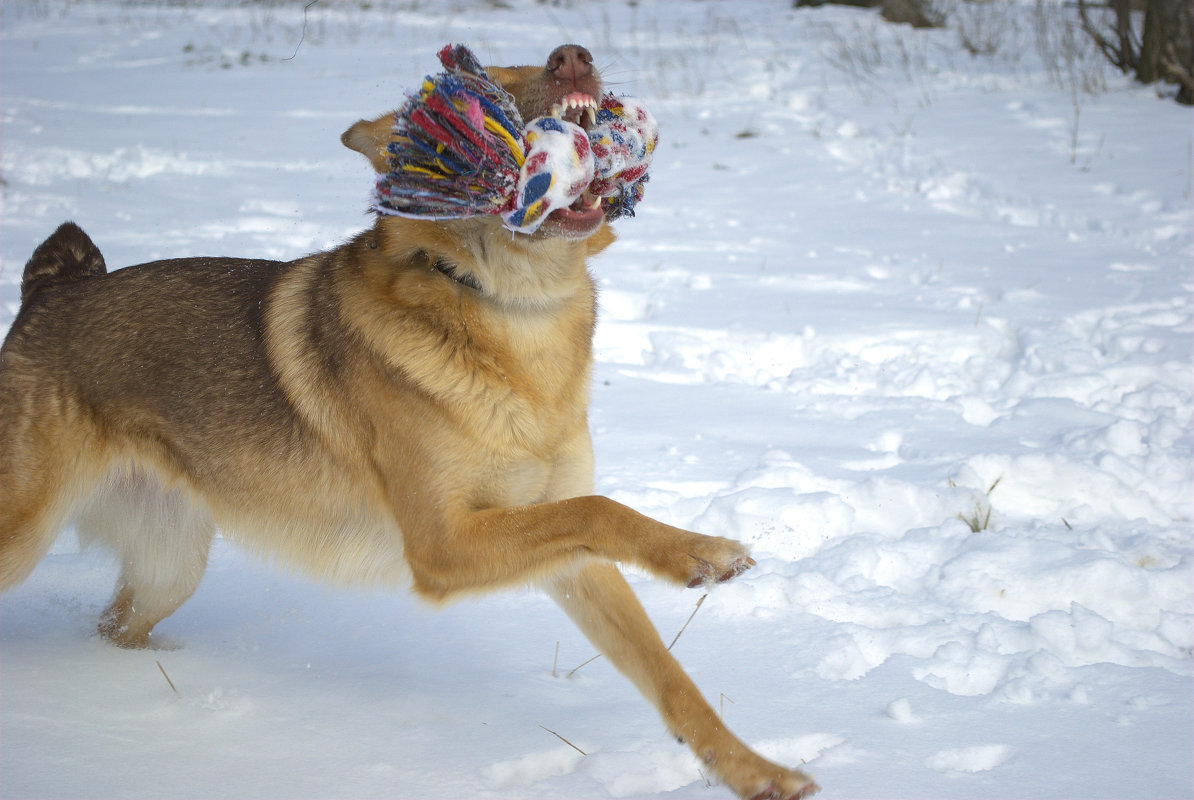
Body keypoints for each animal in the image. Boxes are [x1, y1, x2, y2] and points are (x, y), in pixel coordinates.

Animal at [0, 45, 816, 800]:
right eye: (497, 77)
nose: (574, 56)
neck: (513, 309)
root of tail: (48, 296)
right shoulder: (444, 543)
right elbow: (601, 508)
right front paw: (704, 551)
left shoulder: (570, 562)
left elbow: (667, 672)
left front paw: (756, 771)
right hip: (25, 537)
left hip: (169, 569)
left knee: (116, 626)